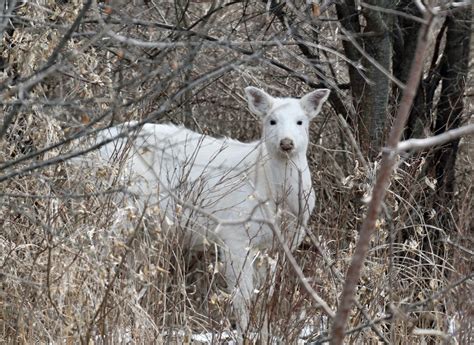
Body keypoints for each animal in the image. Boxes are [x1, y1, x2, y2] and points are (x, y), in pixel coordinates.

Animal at [93, 86, 330, 338]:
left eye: (300, 121)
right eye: (272, 120)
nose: (286, 143)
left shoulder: (275, 246)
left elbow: (264, 298)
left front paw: (265, 335)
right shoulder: (234, 234)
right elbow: (243, 296)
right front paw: (245, 335)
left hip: (142, 231)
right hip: (115, 209)